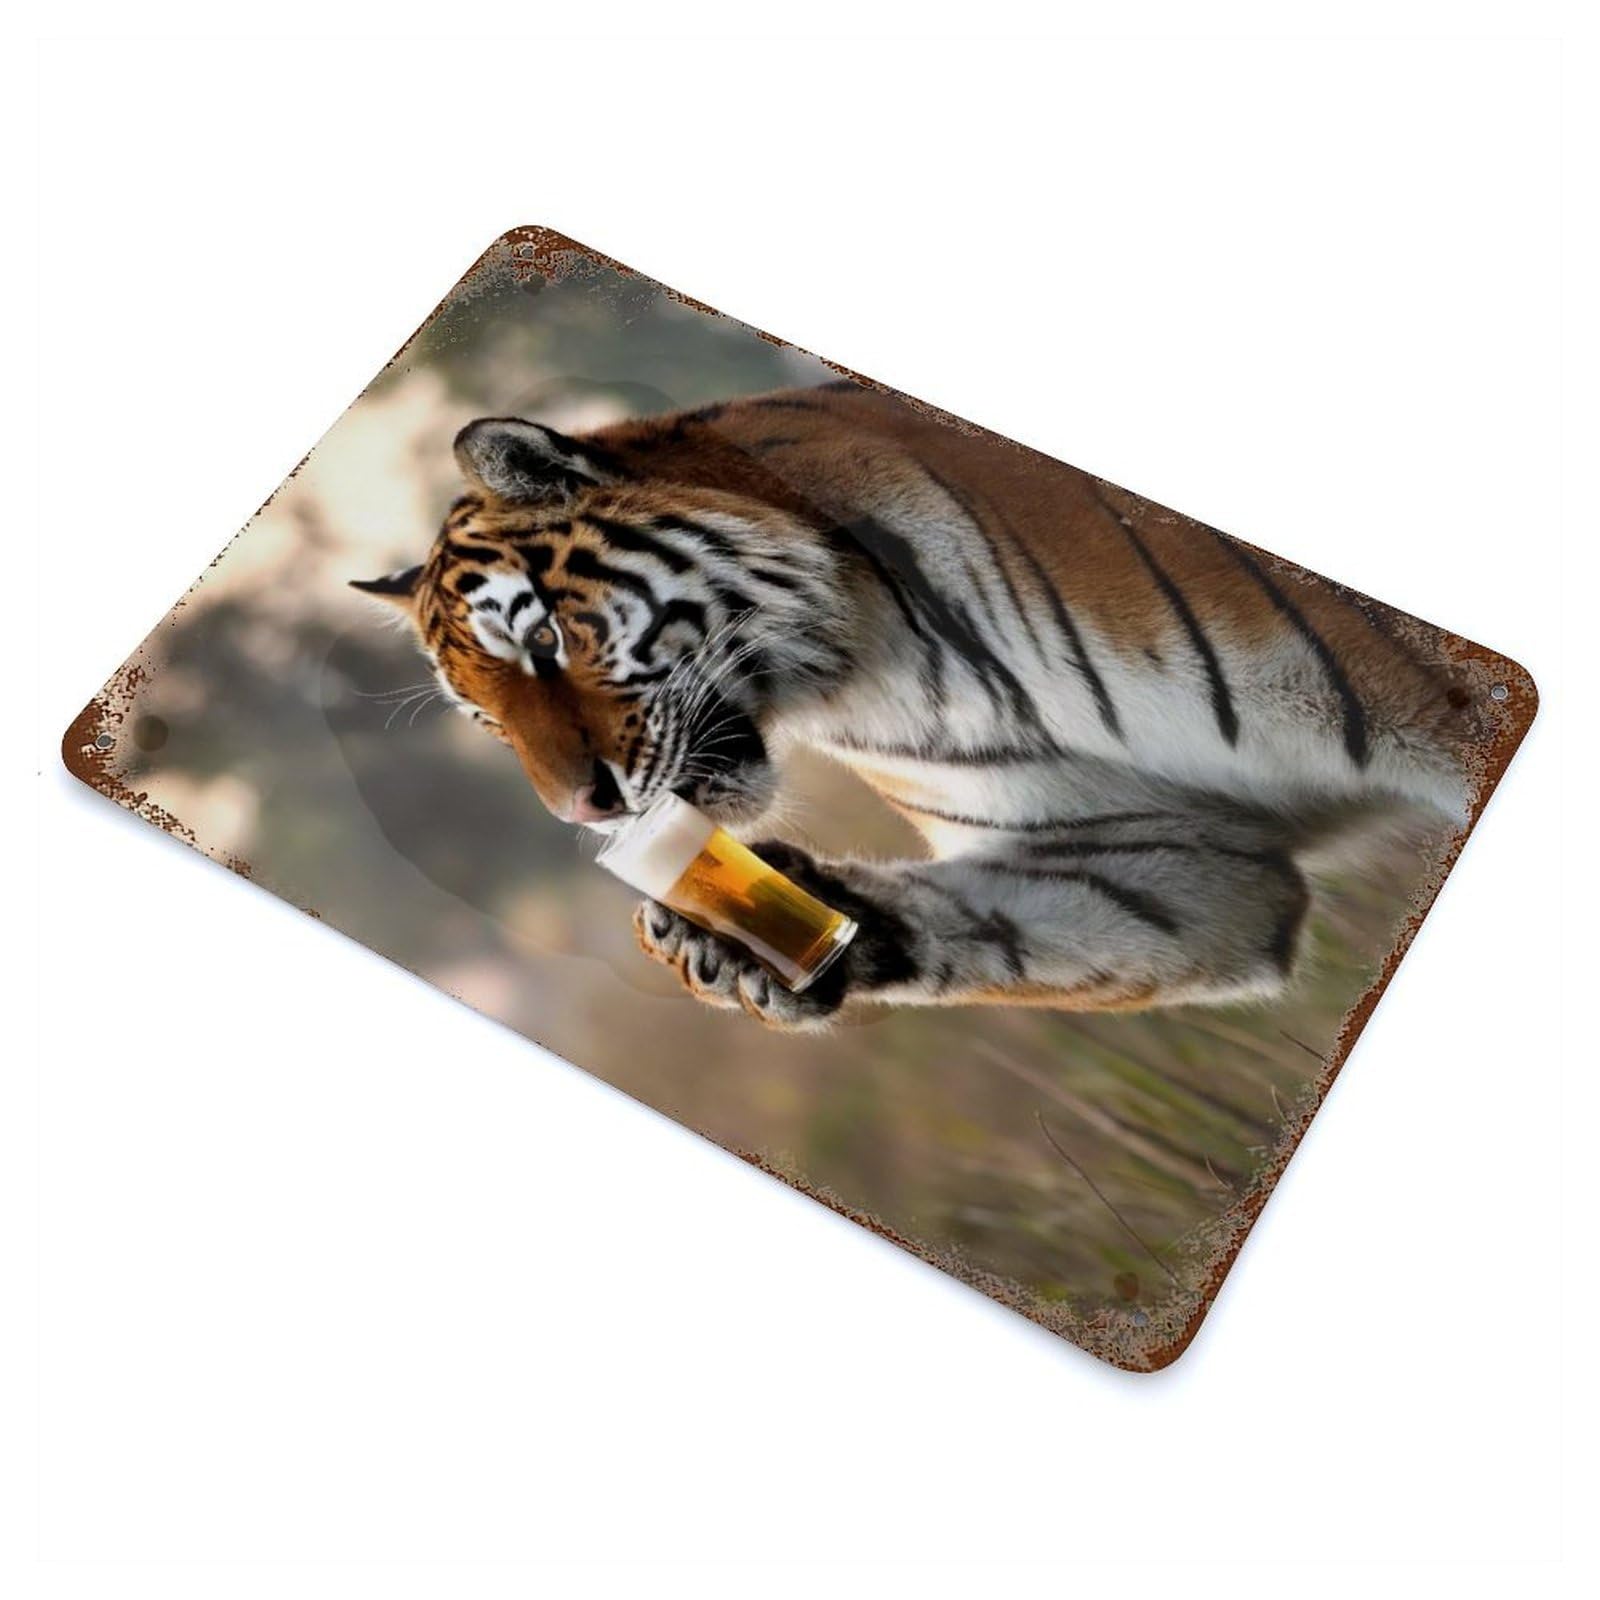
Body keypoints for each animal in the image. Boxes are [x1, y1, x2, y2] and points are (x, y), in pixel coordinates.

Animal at [352, 377, 1488, 1032]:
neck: (872, 663)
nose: (583, 812)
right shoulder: (1170, 859)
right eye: (487, 721)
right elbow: (1021, 919)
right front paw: (746, 934)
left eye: (543, 641)